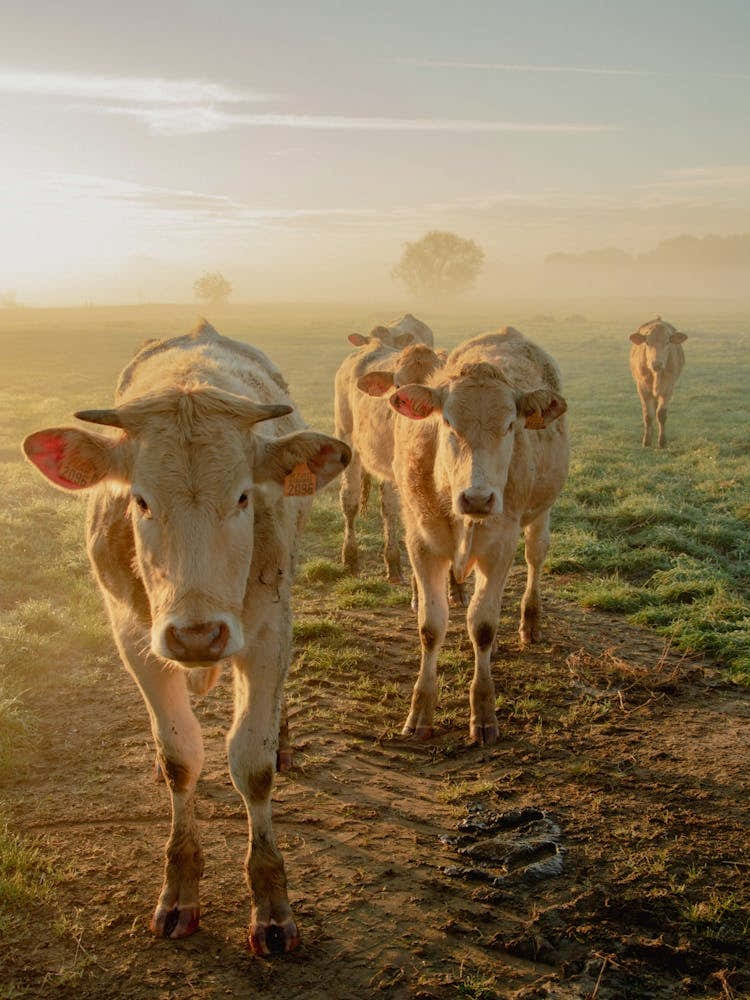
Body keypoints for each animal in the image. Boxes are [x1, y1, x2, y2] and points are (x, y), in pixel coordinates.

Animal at [22, 321, 350, 955]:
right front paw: (178, 890)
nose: (198, 635)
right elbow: (182, 758)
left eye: (244, 496)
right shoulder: (136, 639)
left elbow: (252, 762)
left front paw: (271, 905)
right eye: (140, 499)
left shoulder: (267, 632)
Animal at [388, 326, 569, 745]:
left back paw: (529, 622)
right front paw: (420, 712)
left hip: (540, 516)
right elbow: (431, 626)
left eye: (510, 425)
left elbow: (483, 625)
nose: (478, 498)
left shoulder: (500, 546)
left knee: (535, 559)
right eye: (448, 422)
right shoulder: (422, 545)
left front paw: (484, 713)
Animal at [629, 316, 687, 448]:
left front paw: (662, 442)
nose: (657, 363)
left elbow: (661, 414)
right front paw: (646, 441)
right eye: (647, 342)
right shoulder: (642, 388)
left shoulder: (668, 388)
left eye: (667, 342)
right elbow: (648, 415)